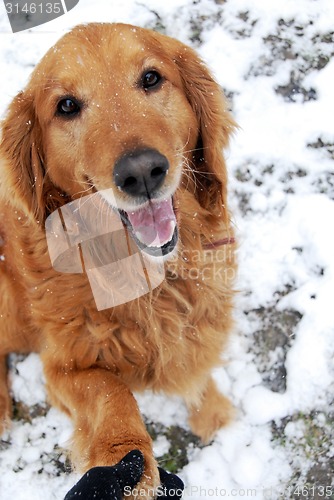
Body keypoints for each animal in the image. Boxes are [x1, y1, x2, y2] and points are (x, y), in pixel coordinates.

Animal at [0, 23, 235, 500]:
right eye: (66, 106)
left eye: (151, 78)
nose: (142, 172)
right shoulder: (61, 368)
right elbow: (109, 389)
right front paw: (124, 456)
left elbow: (197, 361)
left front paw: (212, 411)